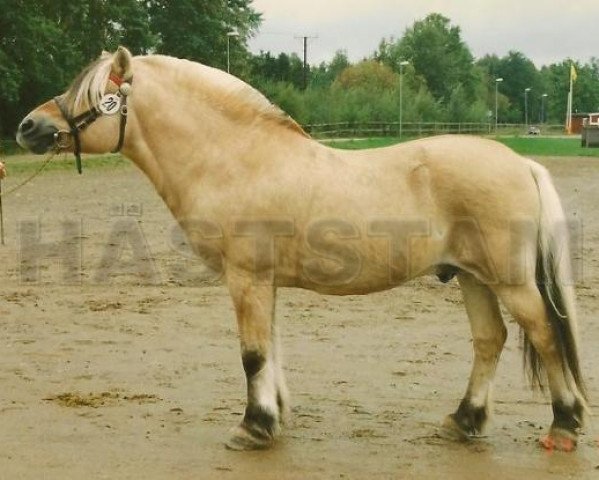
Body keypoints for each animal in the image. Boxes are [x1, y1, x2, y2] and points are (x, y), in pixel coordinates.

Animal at [16, 47, 588, 452]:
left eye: (91, 94)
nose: (28, 126)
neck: (235, 159)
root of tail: (521, 162)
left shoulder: (246, 277)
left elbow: (251, 354)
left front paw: (252, 428)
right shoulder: (263, 281)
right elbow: (269, 349)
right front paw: (271, 418)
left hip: (509, 280)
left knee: (544, 334)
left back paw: (563, 424)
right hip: (470, 277)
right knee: (490, 340)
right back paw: (463, 421)